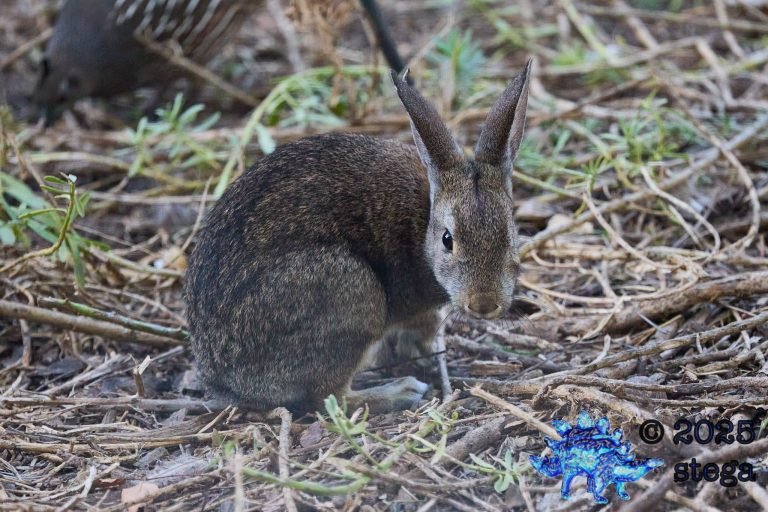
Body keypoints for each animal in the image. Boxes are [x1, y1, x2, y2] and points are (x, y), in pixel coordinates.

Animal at [184, 60, 532, 414]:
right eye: (448, 240)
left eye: (510, 233)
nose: (484, 304)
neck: (423, 225)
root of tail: (225, 378)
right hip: (352, 295)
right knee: (330, 398)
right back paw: (400, 392)